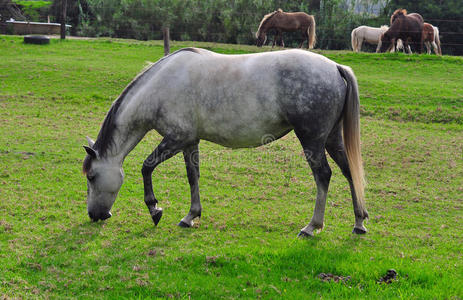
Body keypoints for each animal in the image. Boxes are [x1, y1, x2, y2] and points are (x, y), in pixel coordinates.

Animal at [80, 48, 370, 238]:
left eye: (92, 177)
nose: (95, 215)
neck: (161, 87)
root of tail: (335, 67)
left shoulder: (176, 138)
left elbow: (146, 167)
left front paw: (155, 209)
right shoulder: (189, 142)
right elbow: (193, 176)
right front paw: (191, 216)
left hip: (312, 140)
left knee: (324, 176)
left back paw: (312, 226)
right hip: (331, 138)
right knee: (349, 172)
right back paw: (359, 222)